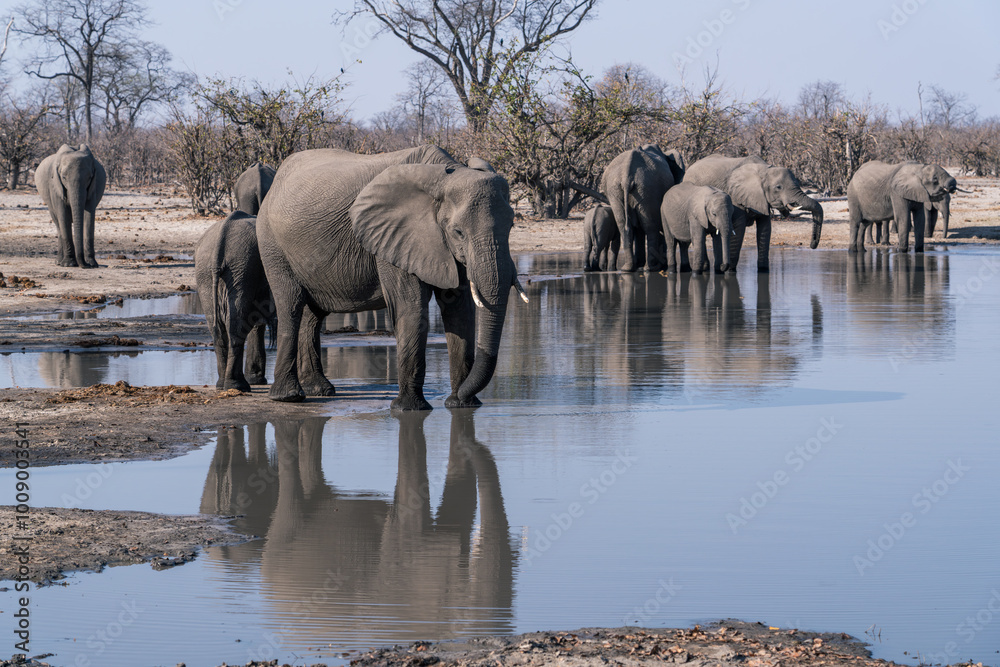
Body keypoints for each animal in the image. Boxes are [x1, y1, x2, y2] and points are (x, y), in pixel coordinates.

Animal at [195, 211, 275, 391]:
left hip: (210, 272)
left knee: (219, 327)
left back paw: (223, 385)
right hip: (241, 266)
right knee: (236, 326)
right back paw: (238, 386)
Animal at [256, 145, 526, 410]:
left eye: (511, 226)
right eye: (458, 232)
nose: (459, 396)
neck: (444, 176)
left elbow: (460, 310)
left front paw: (462, 405)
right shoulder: (394, 238)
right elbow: (411, 307)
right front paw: (409, 408)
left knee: (313, 315)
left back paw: (320, 390)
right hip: (272, 244)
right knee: (290, 305)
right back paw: (289, 396)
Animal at [600, 144, 685, 272]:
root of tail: (626, 177)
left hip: (617, 191)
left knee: (625, 226)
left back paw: (628, 268)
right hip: (647, 190)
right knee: (650, 227)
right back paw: (650, 268)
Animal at [683, 155, 824, 272]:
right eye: (778, 187)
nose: (812, 245)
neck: (764, 170)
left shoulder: (762, 199)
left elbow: (765, 229)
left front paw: (763, 270)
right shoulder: (736, 198)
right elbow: (739, 230)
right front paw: (730, 271)